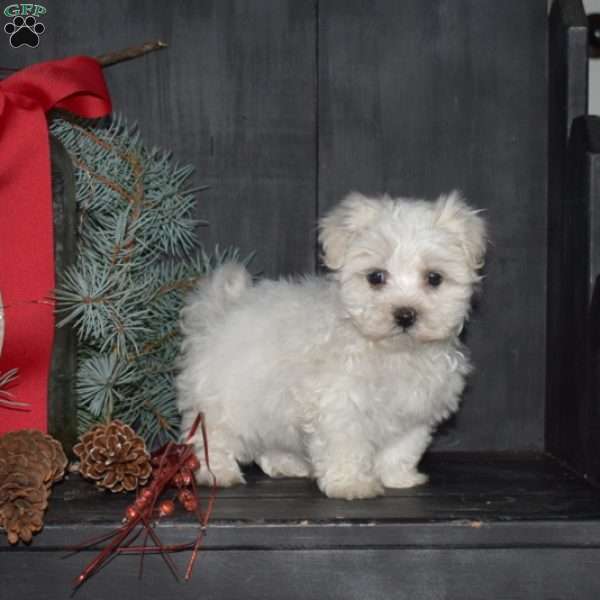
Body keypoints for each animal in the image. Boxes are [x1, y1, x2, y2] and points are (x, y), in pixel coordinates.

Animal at [176, 193, 486, 502]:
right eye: (376, 277)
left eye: (434, 278)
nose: (405, 314)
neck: (394, 351)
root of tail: (220, 310)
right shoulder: (340, 405)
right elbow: (346, 446)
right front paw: (351, 484)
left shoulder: (414, 411)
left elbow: (401, 448)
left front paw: (398, 477)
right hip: (226, 398)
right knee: (212, 434)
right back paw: (217, 472)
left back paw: (286, 464)